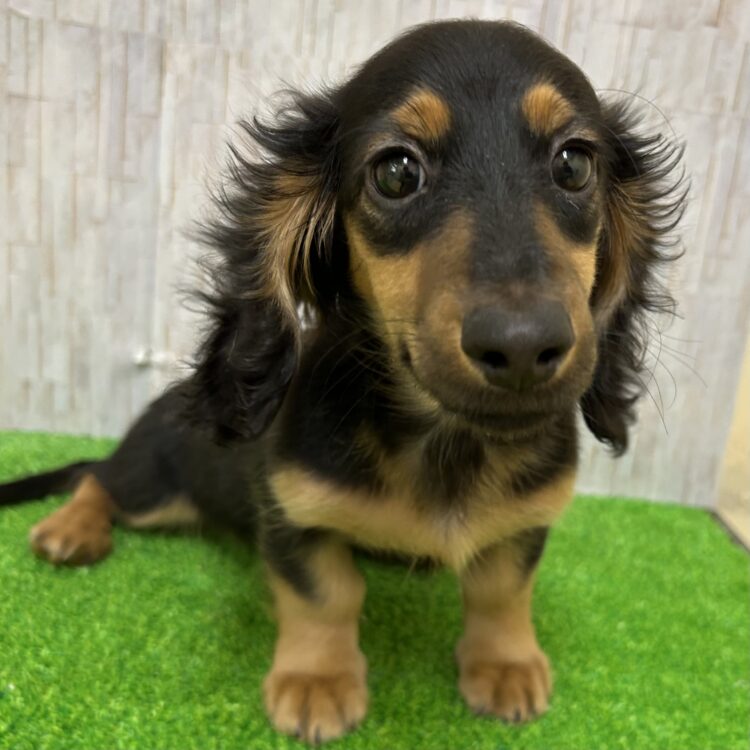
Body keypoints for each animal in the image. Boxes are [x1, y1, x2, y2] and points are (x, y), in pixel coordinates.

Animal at [0, 19, 684, 743]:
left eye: (574, 164)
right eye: (396, 171)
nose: (523, 345)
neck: (444, 441)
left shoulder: (526, 521)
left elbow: (501, 588)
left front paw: (505, 663)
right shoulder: (291, 513)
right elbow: (326, 594)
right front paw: (317, 680)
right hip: (158, 486)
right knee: (98, 479)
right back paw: (71, 529)